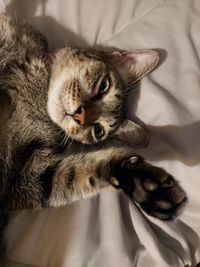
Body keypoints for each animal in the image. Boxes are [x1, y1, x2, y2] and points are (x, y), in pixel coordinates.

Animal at [0, 13, 188, 260]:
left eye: (98, 130)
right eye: (103, 87)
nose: (80, 116)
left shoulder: (24, 178)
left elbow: (77, 174)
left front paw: (140, 182)